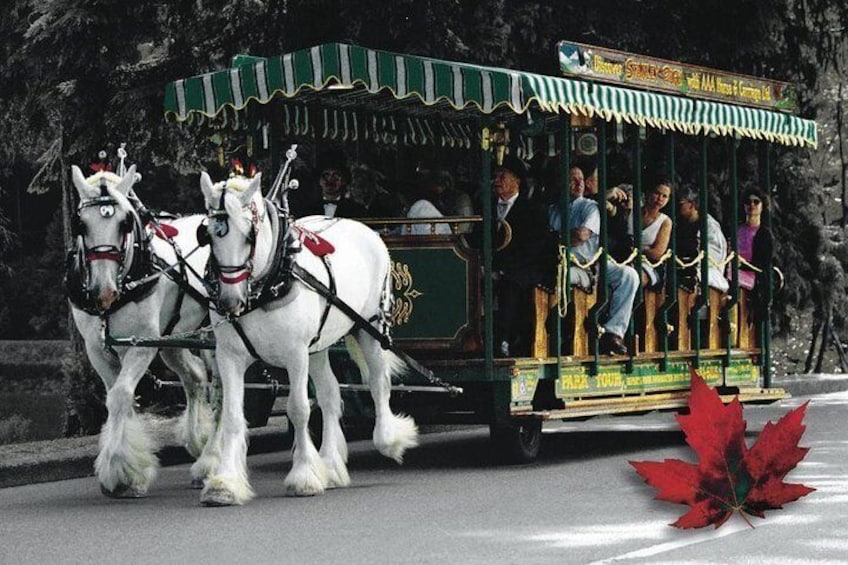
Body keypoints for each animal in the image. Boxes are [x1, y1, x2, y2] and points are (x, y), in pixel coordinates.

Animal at [69, 165, 215, 496]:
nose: (103, 291)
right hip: (173, 341)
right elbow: (116, 397)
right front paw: (127, 466)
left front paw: (120, 472)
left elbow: (121, 395)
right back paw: (200, 445)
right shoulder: (97, 349)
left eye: (124, 223)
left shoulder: (142, 345)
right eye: (81, 224)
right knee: (195, 377)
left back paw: (213, 458)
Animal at [195, 171, 414, 502]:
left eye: (248, 235)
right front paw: (226, 483)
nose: (230, 301)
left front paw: (304, 476)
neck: (269, 282)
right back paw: (332, 466)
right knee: (331, 394)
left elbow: (299, 409)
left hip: (369, 329)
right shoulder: (229, 356)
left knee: (378, 382)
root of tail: (363, 227)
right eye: (208, 235)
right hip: (319, 347)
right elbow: (232, 414)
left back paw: (389, 440)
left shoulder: (295, 354)